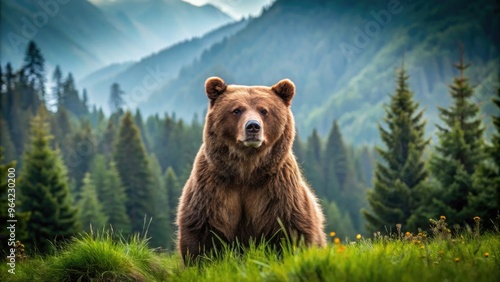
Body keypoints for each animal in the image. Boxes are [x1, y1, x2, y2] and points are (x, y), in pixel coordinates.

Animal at [177, 76, 328, 262]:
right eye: (237, 110)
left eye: (264, 110)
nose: (253, 126)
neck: (246, 171)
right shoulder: (213, 190)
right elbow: (202, 233)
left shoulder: (277, 191)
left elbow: (290, 231)